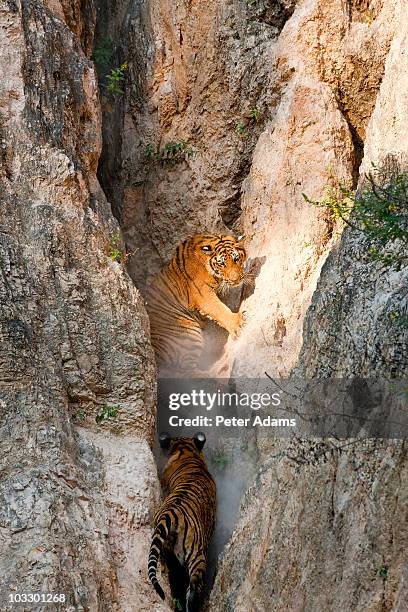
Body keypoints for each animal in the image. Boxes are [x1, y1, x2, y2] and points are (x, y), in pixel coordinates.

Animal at [147, 234, 247, 378]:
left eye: (236, 259)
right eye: (222, 263)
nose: (236, 280)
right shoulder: (203, 294)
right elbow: (219, 309)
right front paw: (237, 323)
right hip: (189, 335)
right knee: (186, 373)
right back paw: (220, 371)